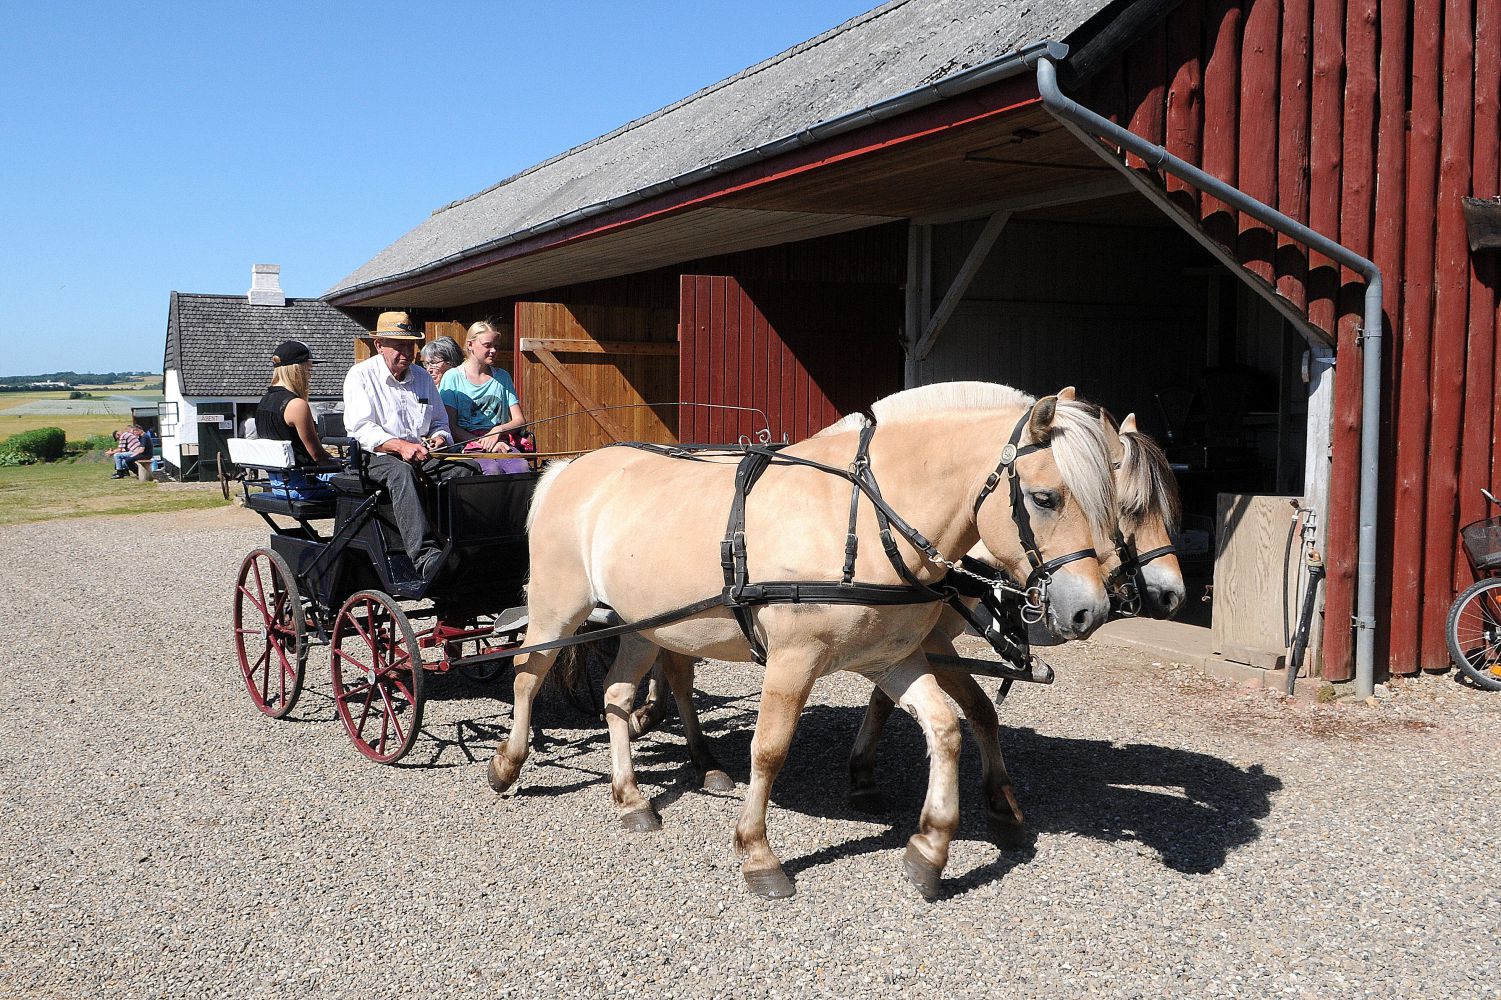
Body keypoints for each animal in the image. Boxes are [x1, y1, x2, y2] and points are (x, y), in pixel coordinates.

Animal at [487, 382, 1119, 900]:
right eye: (1045, 498)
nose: (1090, 609)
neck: (863, 518)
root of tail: (569, 468)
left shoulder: (894, 658)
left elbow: (945, 729)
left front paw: (931, 848)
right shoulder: (793, 660)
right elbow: (769, 749)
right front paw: (758, 854)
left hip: (645, 623)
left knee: (618, 696)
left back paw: (632, 798)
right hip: (556, 611)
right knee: (527, 678)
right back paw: (507, 765)